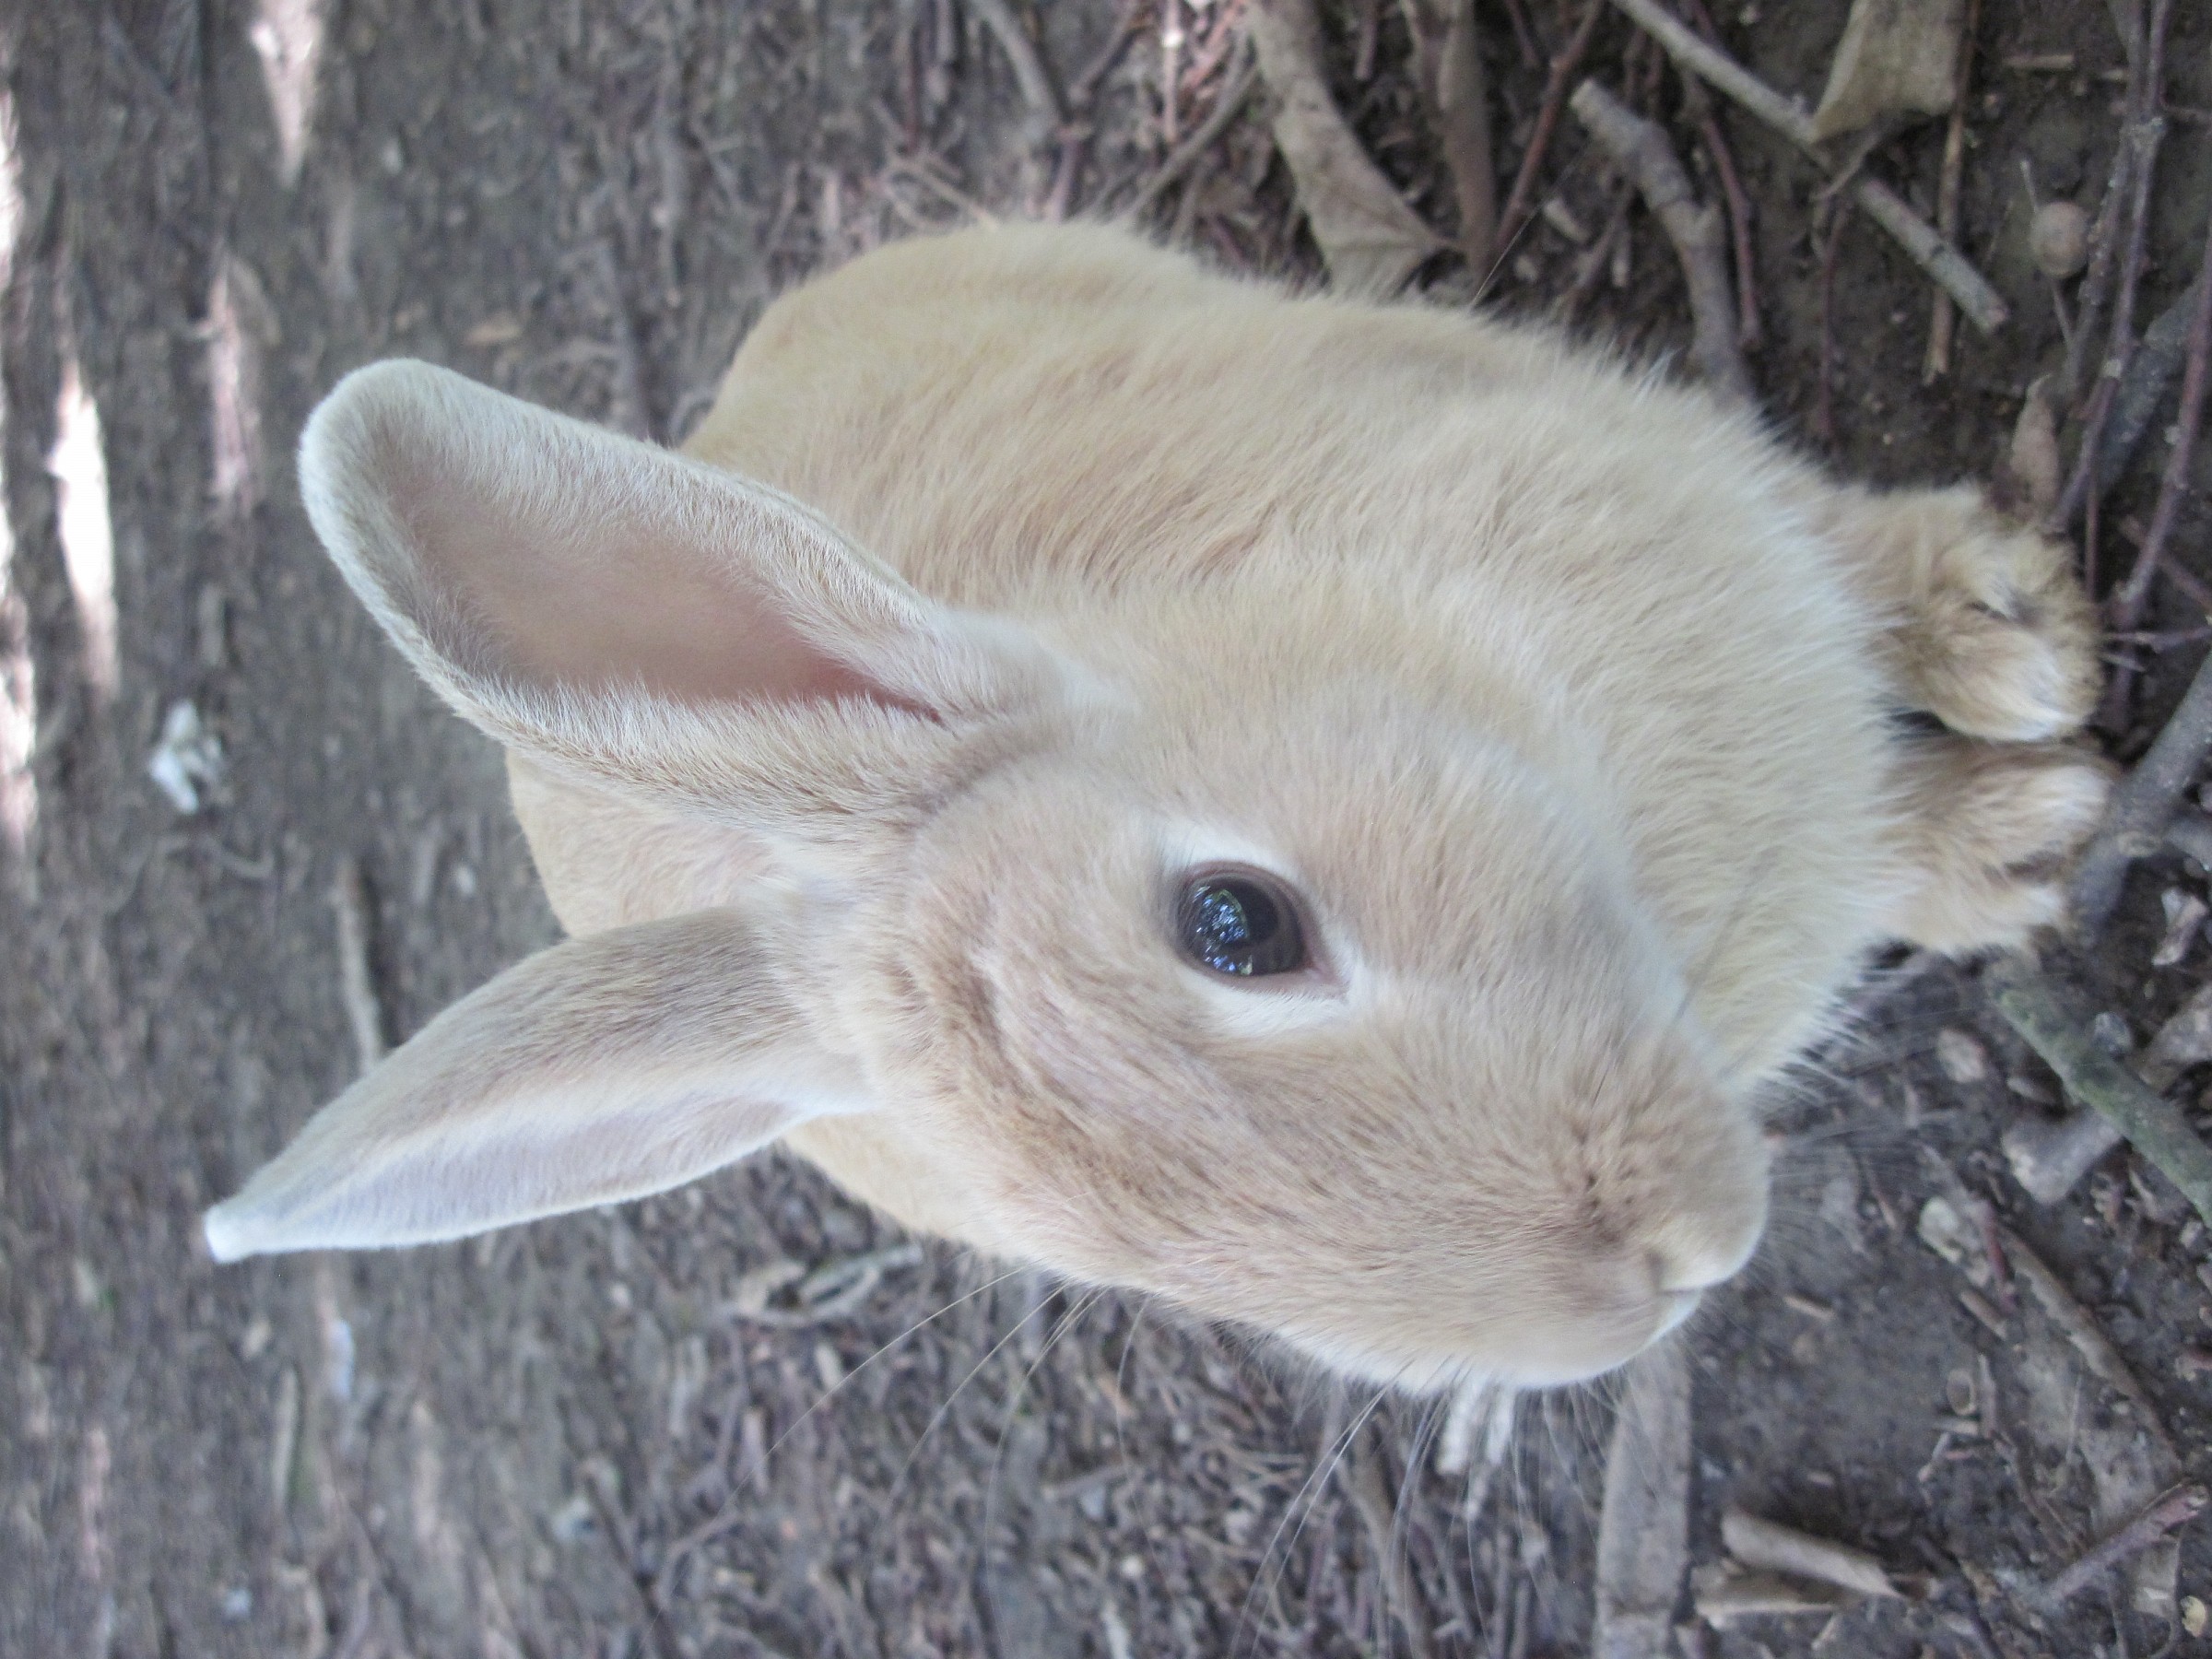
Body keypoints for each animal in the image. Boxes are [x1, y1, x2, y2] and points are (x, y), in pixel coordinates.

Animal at [202, 223, 2107, 1392]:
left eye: (1232, 922)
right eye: (1134, 1261)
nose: (1665, 1273)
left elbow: (1852, 571)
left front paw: (2017, 656)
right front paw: (2022, 843)